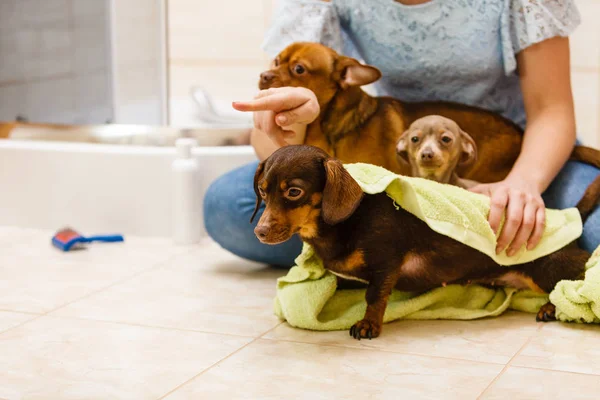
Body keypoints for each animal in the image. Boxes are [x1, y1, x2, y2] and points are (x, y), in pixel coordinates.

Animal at [253, 145, 600, 340]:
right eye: (262, 190)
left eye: (294, 192)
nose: (260, 232)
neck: (342, 224)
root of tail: (570, 215)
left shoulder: (386, 263)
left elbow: (374, 296)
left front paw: (368, 324)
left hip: (546, 268)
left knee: (573, 281)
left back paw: (552, 306)